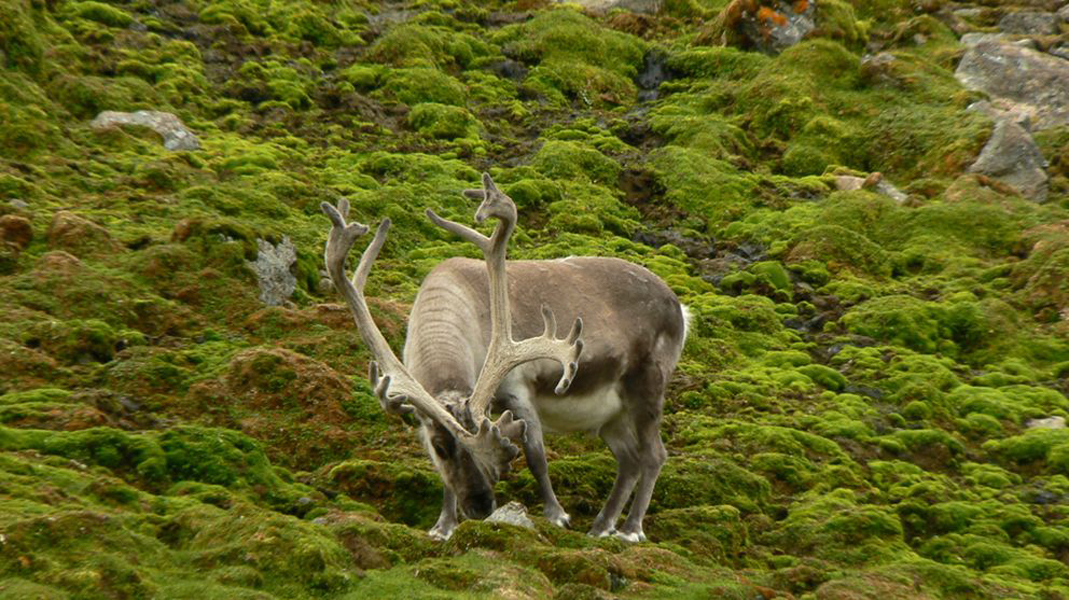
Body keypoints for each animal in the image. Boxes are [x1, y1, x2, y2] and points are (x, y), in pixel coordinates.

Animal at [321, 173, 687, 542]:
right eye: (440, 447)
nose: (481, 506)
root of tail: (679, 306)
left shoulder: (517, 386)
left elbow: (537, 456)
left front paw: (556, 515)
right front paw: (443, 525)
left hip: (648, 385)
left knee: (654, 455)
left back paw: (630, 528)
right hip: (610, 413)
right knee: (629, 459)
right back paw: (601, 526)